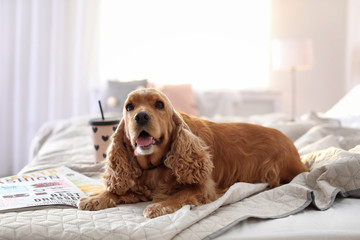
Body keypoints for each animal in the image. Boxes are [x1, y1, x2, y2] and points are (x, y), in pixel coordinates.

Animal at [77, 87, 308, 218]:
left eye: (159, 104)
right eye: (129, 107)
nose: (141, 116)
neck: (155, 165)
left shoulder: (204, 188)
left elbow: (180, 195)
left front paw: (158, 207)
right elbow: (116, 191)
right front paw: (95, 198)